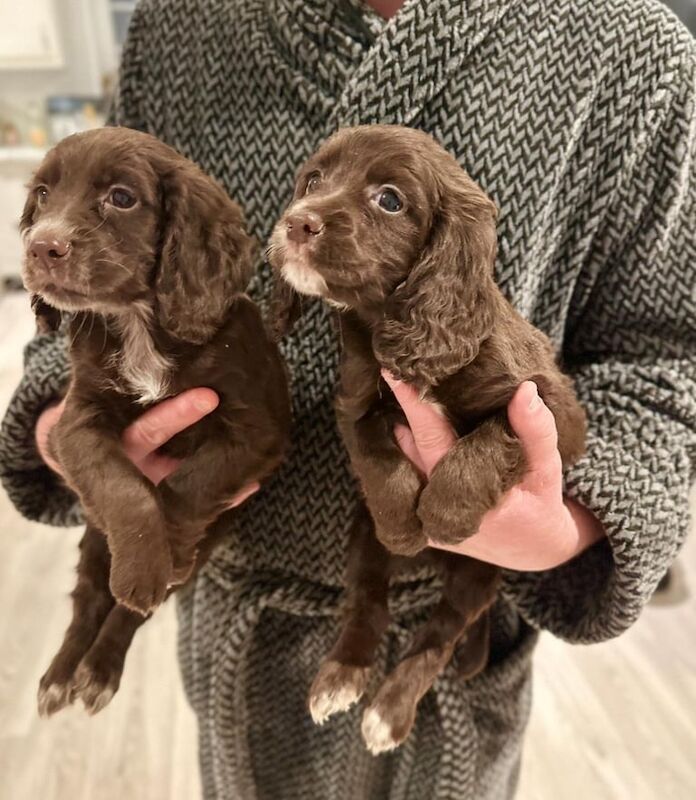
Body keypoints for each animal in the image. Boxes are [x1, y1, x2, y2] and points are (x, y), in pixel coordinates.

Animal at [20, 128, 290, 716]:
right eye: (43, 195)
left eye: (121, 197)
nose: (41, 247)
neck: (138, 323)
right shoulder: (75, 422)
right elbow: (124, 486)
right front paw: (144, 561)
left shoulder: (255, 431)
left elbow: (186, 488)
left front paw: (160, 559)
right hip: (93, 540)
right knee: (89, 599)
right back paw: (63, 674)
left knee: (126, 612)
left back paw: (98, 670)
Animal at [270, 123, 584, 752]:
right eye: (313, 181)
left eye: (390, 200)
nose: (297, 221)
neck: (388, 326)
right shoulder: (358, 400)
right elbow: (376, 455)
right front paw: (404, 523)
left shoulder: (550, 412)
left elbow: (490, 439)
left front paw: (444, 511)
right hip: (361, 541)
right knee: (369, 602)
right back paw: (341, 676)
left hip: (480, 575)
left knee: (440, 636)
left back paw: (389, 711)